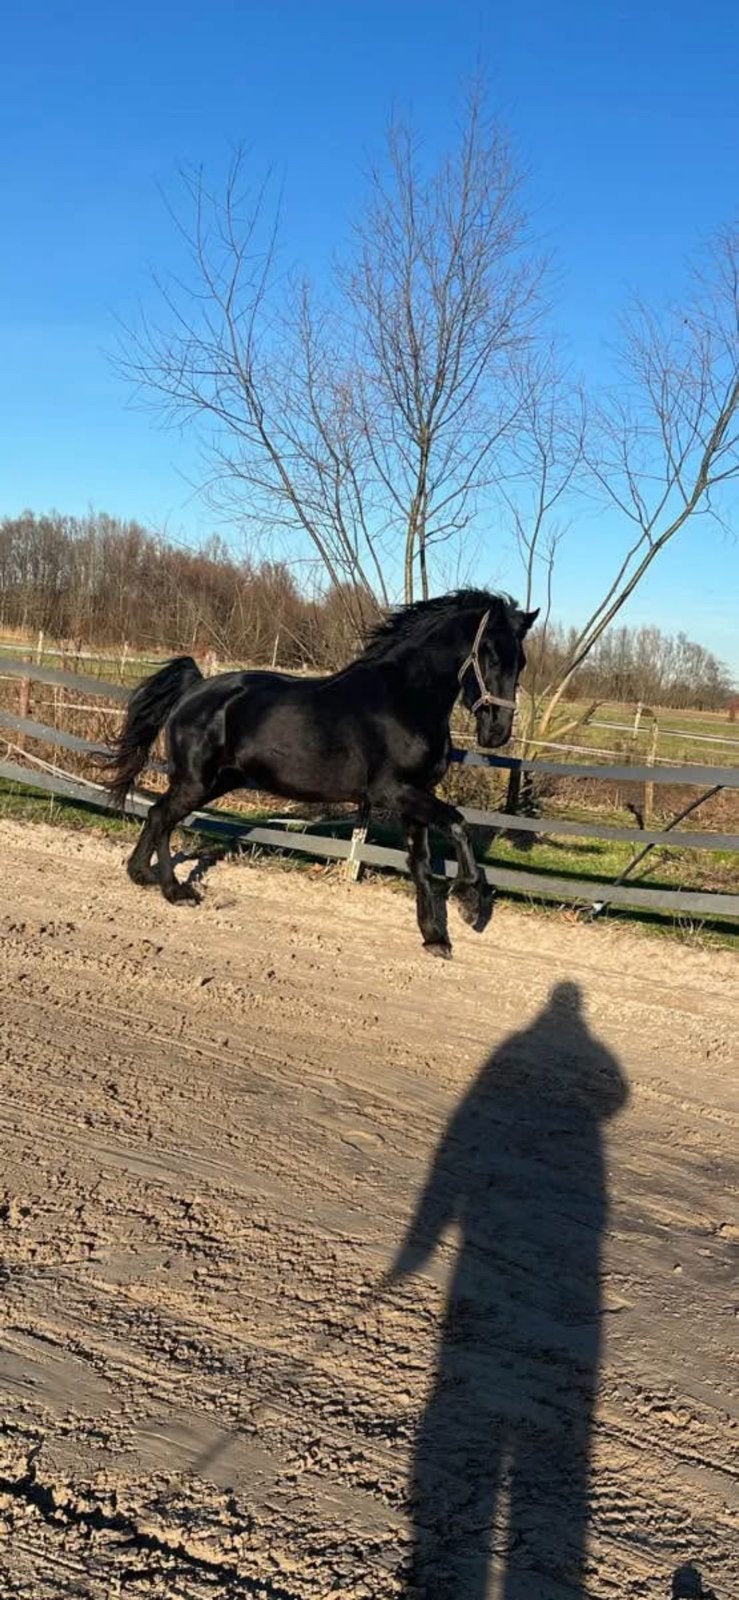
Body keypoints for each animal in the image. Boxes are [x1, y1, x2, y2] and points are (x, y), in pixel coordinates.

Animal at [103, 589, 538, 956]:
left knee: (159, 816)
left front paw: (435, 938)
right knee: (163, 817)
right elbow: (459, 824)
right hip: (196, 781)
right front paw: (469, 903)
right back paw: (173, 891)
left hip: (216, 781)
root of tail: (195, 689)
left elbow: (421, 863)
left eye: (521, 662)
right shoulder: (393, 791)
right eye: (490, 655)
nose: (497, 732)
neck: (405, 699)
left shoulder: (415, 796)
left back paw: (141, 875)